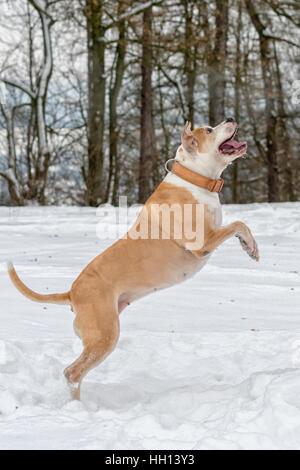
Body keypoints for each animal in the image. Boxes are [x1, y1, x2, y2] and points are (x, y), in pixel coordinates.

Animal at [8, 118, 258, 400]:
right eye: (208, 130)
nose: (230, 119)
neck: (195, 178)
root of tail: (72, 293)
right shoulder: (202, 242)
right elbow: (238, 224)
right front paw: (251, 247)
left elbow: (239, 225)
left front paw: (250, 247)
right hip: (104, 335)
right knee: (72, 373)